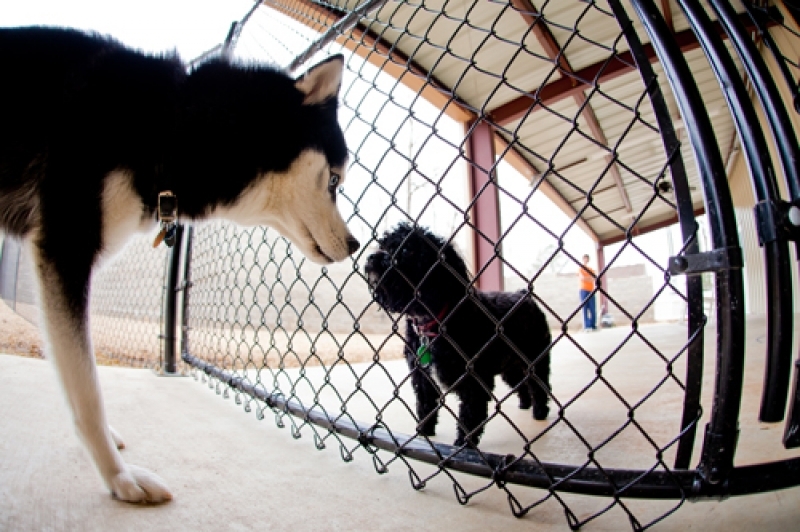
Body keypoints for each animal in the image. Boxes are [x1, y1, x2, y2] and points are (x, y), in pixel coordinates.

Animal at [0, 27, 359, 503]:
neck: (168, 126)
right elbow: (87, 387)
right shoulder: (66, 248)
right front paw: (120, 478)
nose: (355, 244)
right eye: (334, 179)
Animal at [365, 223, 551, 447]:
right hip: (510, 366)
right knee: (521, 385)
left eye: (407, 249)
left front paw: (464, 445)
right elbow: (425, 406)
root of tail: (525, 294)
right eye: (382, 246)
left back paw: (540, 412)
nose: (371, 257)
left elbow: (470, 414)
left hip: (536, 359)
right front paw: (424, 433)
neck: (432, 320)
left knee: (540, 386)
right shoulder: (423, 378)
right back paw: (525, 404)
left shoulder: (474, 381)